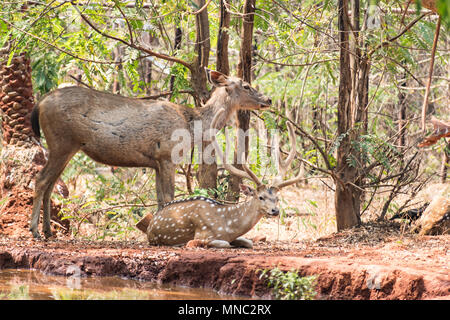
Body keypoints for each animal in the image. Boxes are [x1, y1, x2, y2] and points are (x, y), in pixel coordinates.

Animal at [31, 70, 272, 240]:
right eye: (246, 85)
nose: (268, 100)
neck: (192, 126)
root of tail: (40, 103)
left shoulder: (156, 162)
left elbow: (159, 200)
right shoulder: (167, 155)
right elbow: (169, 198)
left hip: (64, 147)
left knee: (51, 185)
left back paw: (48, 231)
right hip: (61, 142)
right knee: (41, 180)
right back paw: (35, 231)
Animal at [136, 109, 302, 249]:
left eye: (277, 198)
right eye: (261, 197)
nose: (275, 210)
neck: (227, 225)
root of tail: (152, 220)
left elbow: (248, 242)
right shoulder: (203, 234)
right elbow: (222, 243)